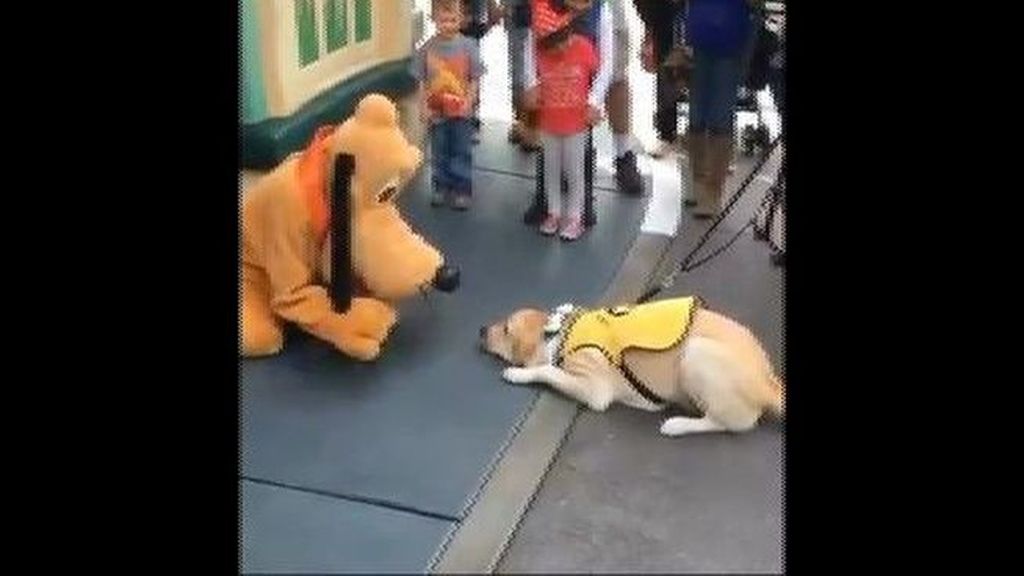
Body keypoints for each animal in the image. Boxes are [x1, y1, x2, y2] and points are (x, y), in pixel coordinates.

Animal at [479, 295, 782, 434]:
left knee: (729, 423)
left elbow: (547, 370)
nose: (481, 329)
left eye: (506, 329)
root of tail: (769, 384)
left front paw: (518, 373)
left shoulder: (594, 388)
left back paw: (679, 424)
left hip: (697, 353)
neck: (559, 332)